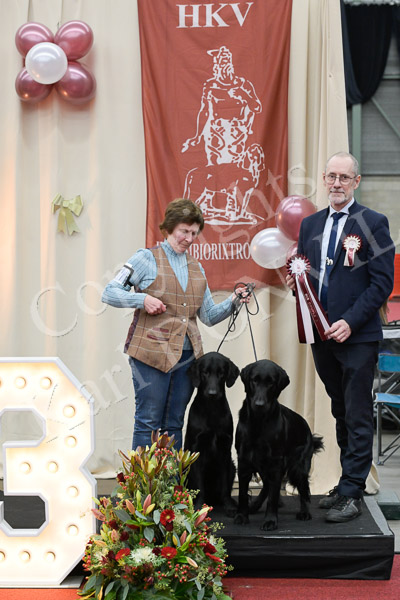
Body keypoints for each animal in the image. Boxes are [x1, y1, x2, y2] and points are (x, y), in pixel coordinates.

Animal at [184, 351, 239, 516]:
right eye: (205, 372)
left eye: (221, 373)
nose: (212, 393)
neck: (212, 409)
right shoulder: (196, 450)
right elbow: (199, 485)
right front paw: (198, 507)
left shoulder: (225, 449)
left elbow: (225, 486)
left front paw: (229, 506)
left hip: (233, 466)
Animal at [234, 359, 324, 531]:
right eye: (254, 380)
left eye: (271, 383)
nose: (259, 404)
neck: (259, 422)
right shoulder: (244, 461)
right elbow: (242, 493)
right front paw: (242, 516)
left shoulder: (275, 463)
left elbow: (274, 497)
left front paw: (270, 520)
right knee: (267, 486)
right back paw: (254, 505)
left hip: (298, 467)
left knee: (304, 490)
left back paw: (304, 512)